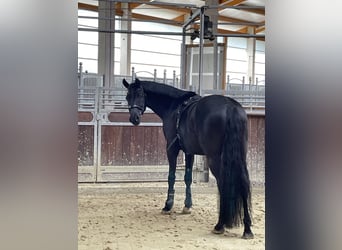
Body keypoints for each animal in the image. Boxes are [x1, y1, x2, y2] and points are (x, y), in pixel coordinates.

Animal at [123, 78, 254, 238]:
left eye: (140, 94)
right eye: (127, 97)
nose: (134, 118)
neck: (174, 106)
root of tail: (231, 108)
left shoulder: (171, 149)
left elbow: (171, 176)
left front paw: (168, 205)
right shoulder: (189, 152)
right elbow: (188, 178)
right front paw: (187, 206)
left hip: (215, 158)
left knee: (223, 183)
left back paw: (220, 225)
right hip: (240, 157)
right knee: (243, 182)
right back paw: (247, 229)